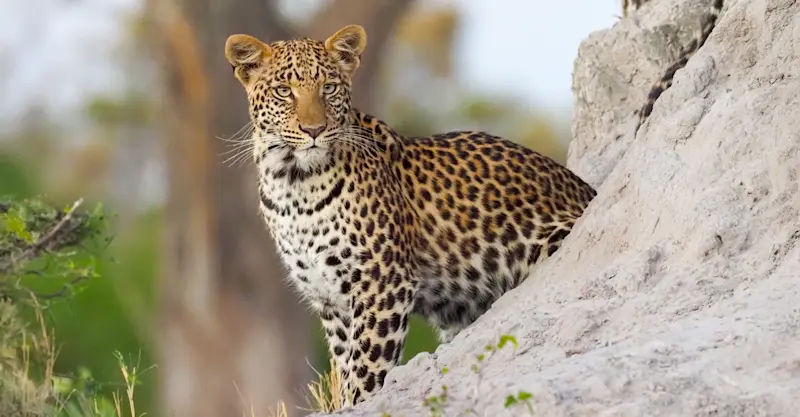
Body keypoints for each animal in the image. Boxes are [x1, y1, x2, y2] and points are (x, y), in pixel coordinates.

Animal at [224, 25, 596, 407]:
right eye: (284, 91)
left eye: (329, 87)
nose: (314, 130)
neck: (292, 183)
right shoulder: (329, 299)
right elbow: (345, 368)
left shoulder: (382, 281)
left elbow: (366, 369)